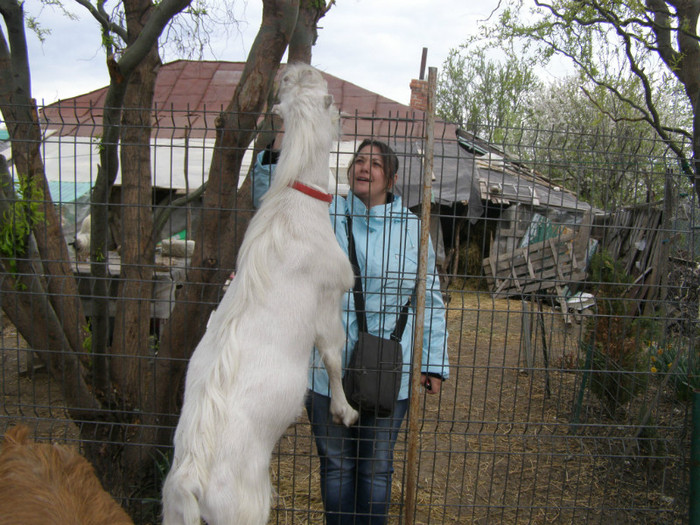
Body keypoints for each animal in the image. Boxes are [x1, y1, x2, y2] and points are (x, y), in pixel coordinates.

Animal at [161, 64, 358, 524]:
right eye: (331, 101)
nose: (296, 69)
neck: (295, 201)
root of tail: (190, 482)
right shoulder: (328, 300)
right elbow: (333, 357)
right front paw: (345, 411)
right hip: (244, 511)